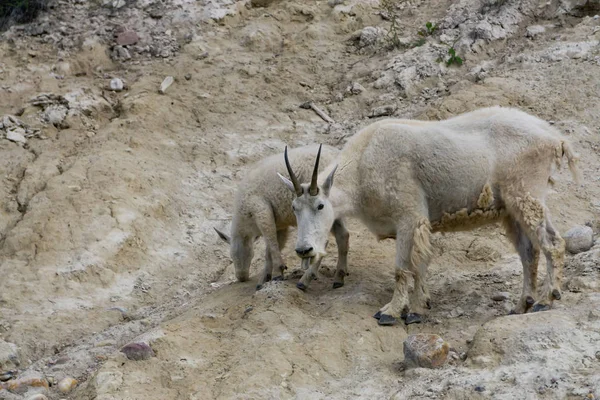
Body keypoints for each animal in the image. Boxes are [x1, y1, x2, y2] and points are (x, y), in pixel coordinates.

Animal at [214, 145, 350, 290]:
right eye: (232, 257)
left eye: (250, 255)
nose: (241, 277)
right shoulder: (280, 225)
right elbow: (271, 248)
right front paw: (265, 278)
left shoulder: (262, 210)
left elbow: (271, 242)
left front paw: (277, 273)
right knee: (343, 235)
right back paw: (338, 277)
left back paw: (305, 279)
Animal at [280, 106, 580, 324]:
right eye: (295, 208)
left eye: (320, 206)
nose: (304, 249)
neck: (364, 165)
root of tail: (553, 136)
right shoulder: (416, 224)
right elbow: (420, 265)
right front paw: (417, 309)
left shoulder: (409, 216)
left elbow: (402, 268)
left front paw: (390, 312)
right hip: (510, 209)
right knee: (529, 251)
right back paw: (521, 305)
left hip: (526, 194)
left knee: (553, 243)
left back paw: (546, 300)